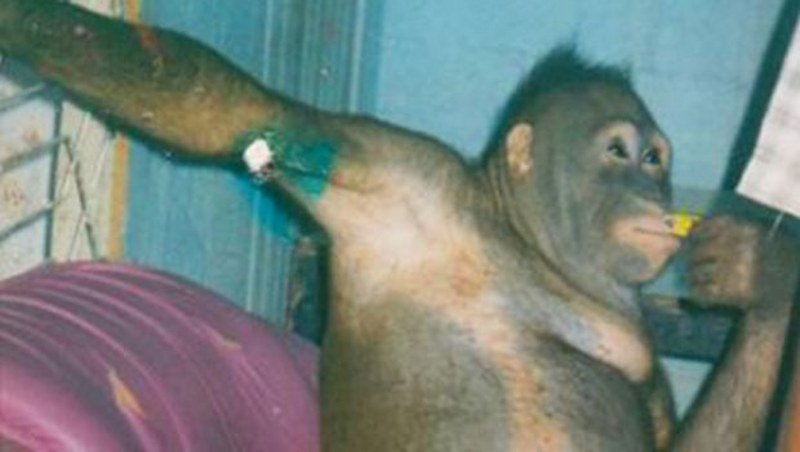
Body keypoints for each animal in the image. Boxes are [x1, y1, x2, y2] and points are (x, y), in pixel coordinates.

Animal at [0, 2, 797, 450]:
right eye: (619, 153)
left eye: (658, 159)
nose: (650, 187)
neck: (528, 244)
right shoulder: (401, 170)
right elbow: (227, 108)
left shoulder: (648, 360)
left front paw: (764, 282)